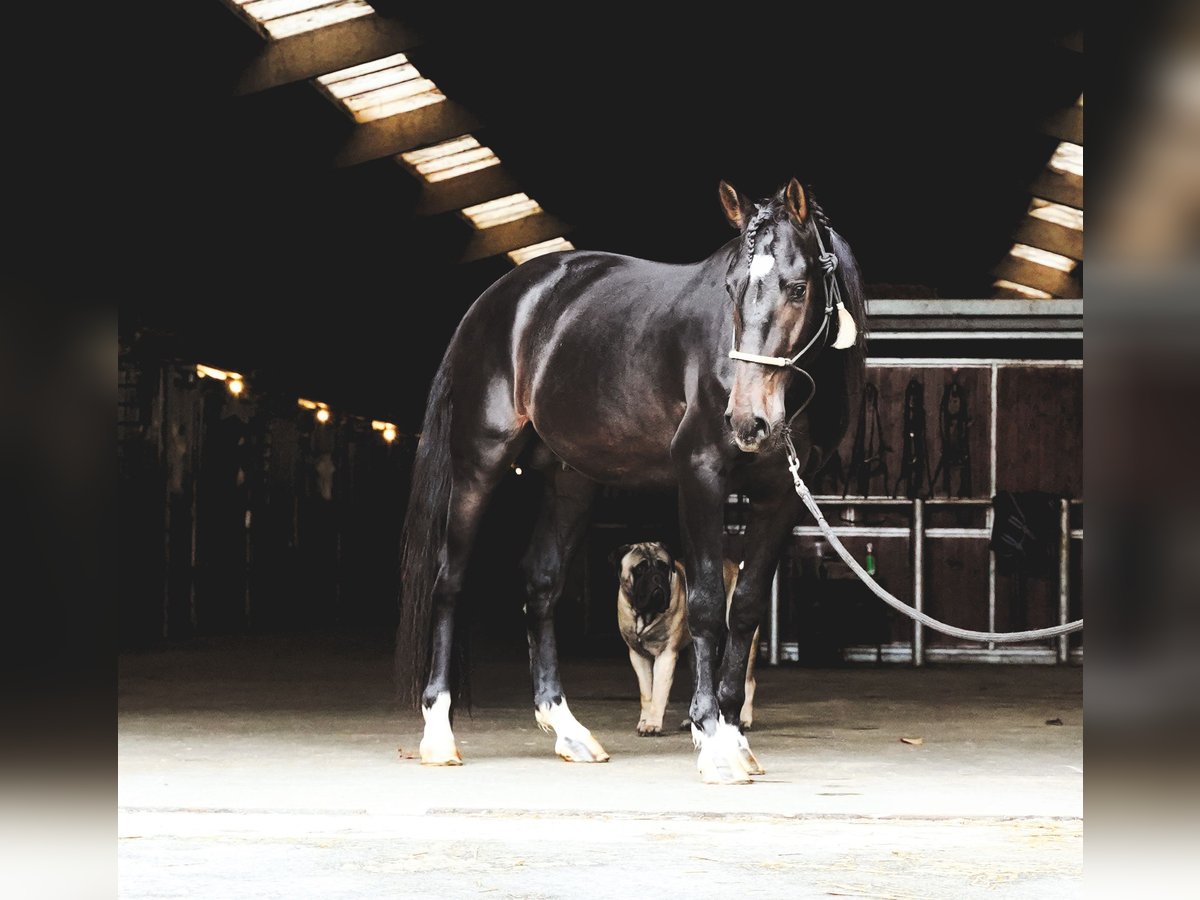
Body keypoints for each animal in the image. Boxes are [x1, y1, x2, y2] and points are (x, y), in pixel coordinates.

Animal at [614, 542, 753, 739]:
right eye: (640, 569)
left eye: (663, 567)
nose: (656, 577)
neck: (646, 615)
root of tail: (734, 565)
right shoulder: (638, 657)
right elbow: (647, 693)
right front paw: (645, 720)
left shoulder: (666, 656)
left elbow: (658, 692)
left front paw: (653, 724)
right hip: (696, 654)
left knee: (748, 680)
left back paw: (744, 719)